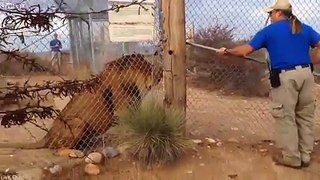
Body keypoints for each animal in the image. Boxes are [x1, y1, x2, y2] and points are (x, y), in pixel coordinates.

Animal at [0, 53, 161, 150]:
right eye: (146, 69)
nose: (159, 75)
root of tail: (48, 135)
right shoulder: (123, 108)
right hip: (78, 122)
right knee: (58, 147)